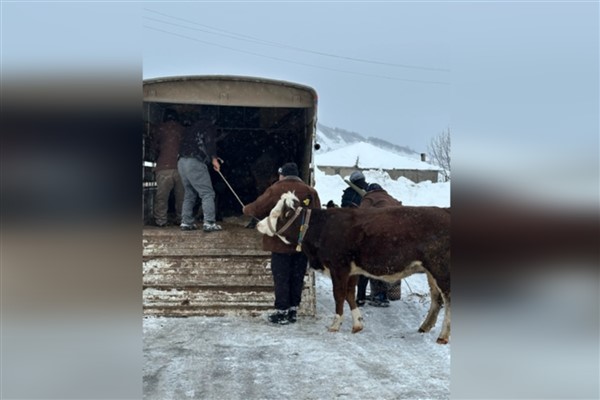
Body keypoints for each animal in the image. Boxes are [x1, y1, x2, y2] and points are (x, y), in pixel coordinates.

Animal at [256, 191, 450, 344]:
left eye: (275, 213)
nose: (258, 224)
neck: (320, 228)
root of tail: (444, 211)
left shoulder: (338, 267)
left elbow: (339, 295)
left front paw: (335, 324)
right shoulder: (352, 270)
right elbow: (350, 294)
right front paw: (357, 324)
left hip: (440, 269)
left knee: (447, 299)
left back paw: (443, 336)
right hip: (430, 272)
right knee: (437, 299)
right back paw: (425, 327)